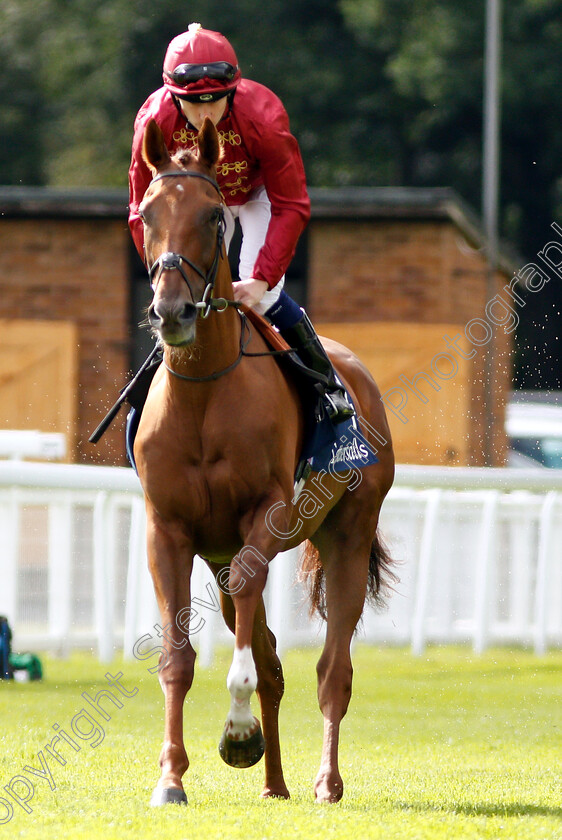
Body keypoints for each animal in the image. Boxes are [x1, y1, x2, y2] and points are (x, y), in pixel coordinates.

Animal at [133, 115, 394, 804]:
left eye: (213, 216)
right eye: (147, 213)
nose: (171, 310)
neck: (204, 392)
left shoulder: (267, 515)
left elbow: (254, 651)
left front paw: (237, 731)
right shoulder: (168, 529)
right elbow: (178, 656)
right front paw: (171, 777)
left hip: (348, 533)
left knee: (333, 667)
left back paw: (324, 781)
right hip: (221, 558)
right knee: (272, 657)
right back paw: (274, 782)